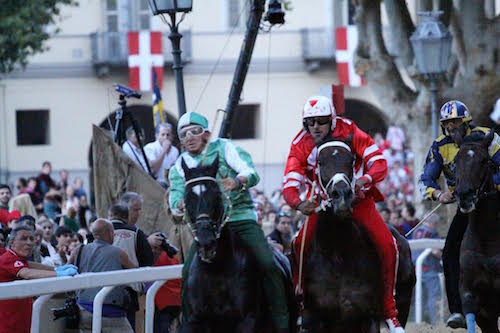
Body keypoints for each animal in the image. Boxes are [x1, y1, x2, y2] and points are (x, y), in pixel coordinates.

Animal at [180, 156, 296, 332]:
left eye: (217, 196)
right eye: (187, 199)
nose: (206, 241)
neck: (216, 270)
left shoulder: (246, 320)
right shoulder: (196, 320)